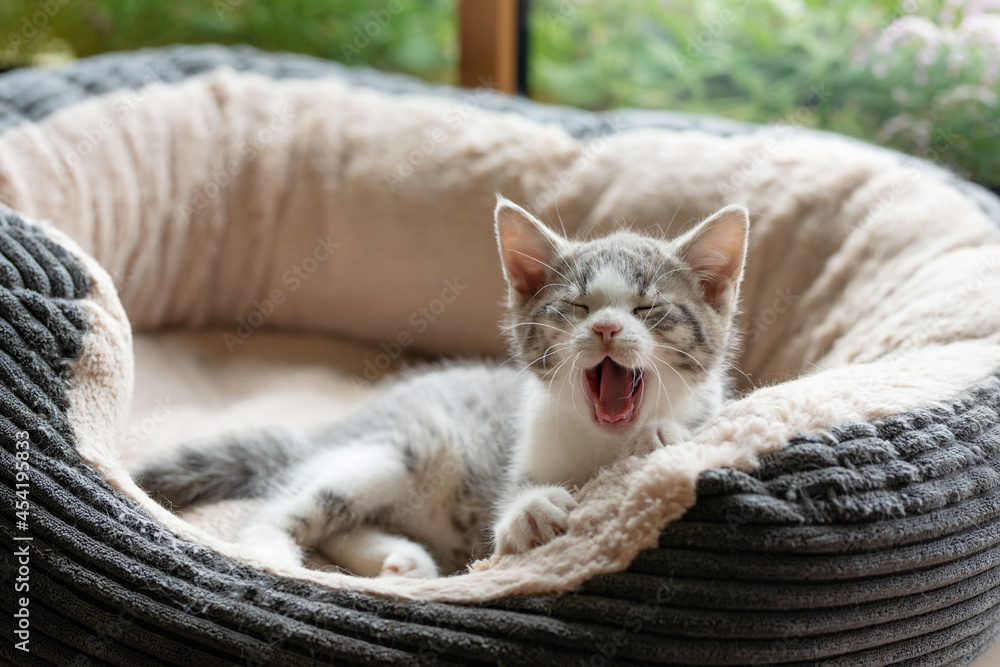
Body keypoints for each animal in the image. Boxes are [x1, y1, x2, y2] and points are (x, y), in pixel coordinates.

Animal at [135, 198, 752, 580]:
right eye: (575, 306)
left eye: (648, 309)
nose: (605, 328)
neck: (599, 443)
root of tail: (332, 431)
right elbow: (507, 524)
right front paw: (529, 512)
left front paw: (662, 435)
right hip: (389, 450)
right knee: (279, 512)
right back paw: (278, 561)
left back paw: (403, 560)